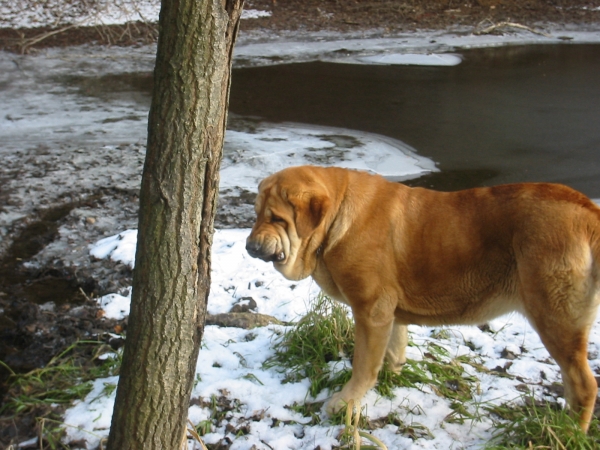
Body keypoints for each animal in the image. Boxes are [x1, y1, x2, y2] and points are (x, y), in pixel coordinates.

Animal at [245, 165, 600, 432]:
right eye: (257, 214)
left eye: (277, 219)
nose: (249, 246)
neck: (336, 219)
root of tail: (588, 211)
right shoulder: (389, 313)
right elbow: (392, 352)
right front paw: (390, 381)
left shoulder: (370, 310)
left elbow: (363, 365)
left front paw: (345, 402)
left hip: (556, 318)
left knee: (583, 384)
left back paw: (569, 430)